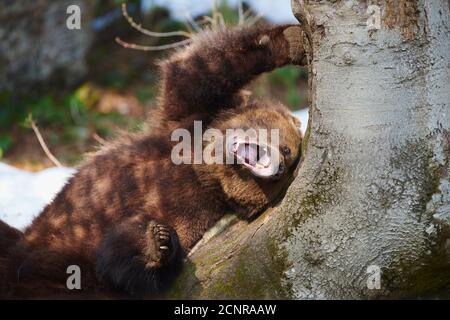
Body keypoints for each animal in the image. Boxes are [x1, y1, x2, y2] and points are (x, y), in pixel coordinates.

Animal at [0, 24, 306, 298]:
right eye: (286, 148)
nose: (279, 166)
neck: (203, 169)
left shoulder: (192, 211)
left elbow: (132, 260)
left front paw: (159, 243)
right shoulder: (186, 123)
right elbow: (197, 71)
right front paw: (292, 41)